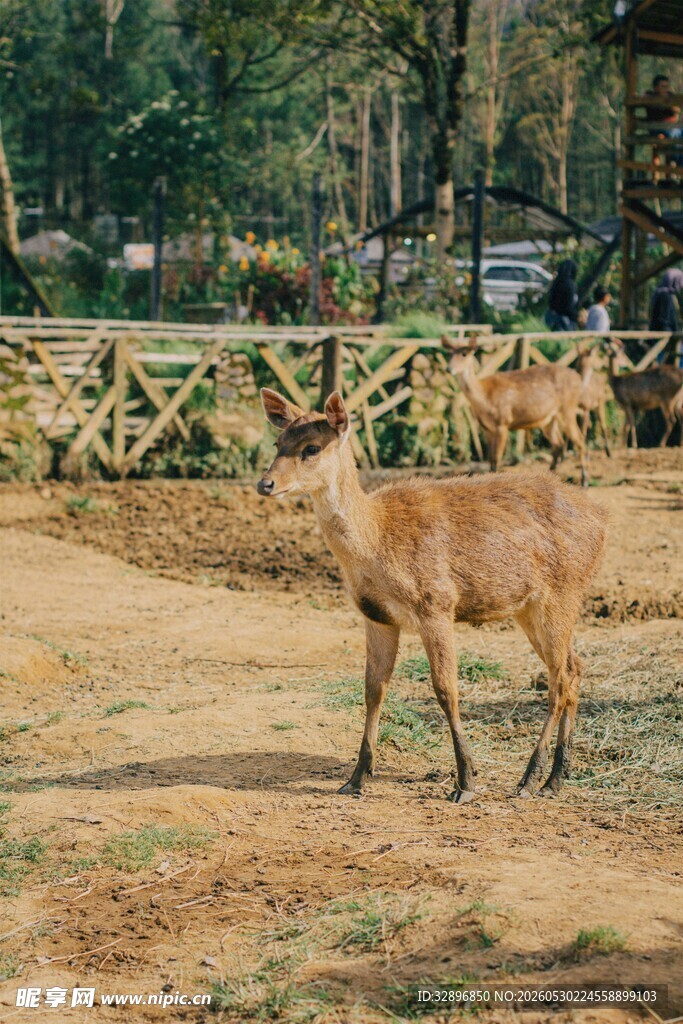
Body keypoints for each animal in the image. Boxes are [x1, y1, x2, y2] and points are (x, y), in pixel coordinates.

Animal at [257, 388, 607, 804]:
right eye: (278, 442)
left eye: (311, 447)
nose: (265, 483)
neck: (376, 544)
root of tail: (603, 521)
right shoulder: (376, 616)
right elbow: (373, 689)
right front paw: (355, 778)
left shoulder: (436, 604)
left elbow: (445, 689)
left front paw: (466, 782)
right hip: (529, 607)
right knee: (575, 665)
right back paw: (555, 778)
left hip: (562, 593)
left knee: (560, 676)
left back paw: (530, 779)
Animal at [447, 345, 589, 486]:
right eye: (450, 353)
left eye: (464, 354)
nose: (448, 368)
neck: (484, 397)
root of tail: (578, 378)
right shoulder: (487, 429)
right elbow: (490, 459)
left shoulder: (502, 424)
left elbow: (496, 459)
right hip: (548, 420)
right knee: (558, 443)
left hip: (567, 410)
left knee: (580, 440)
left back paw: (584, 480)